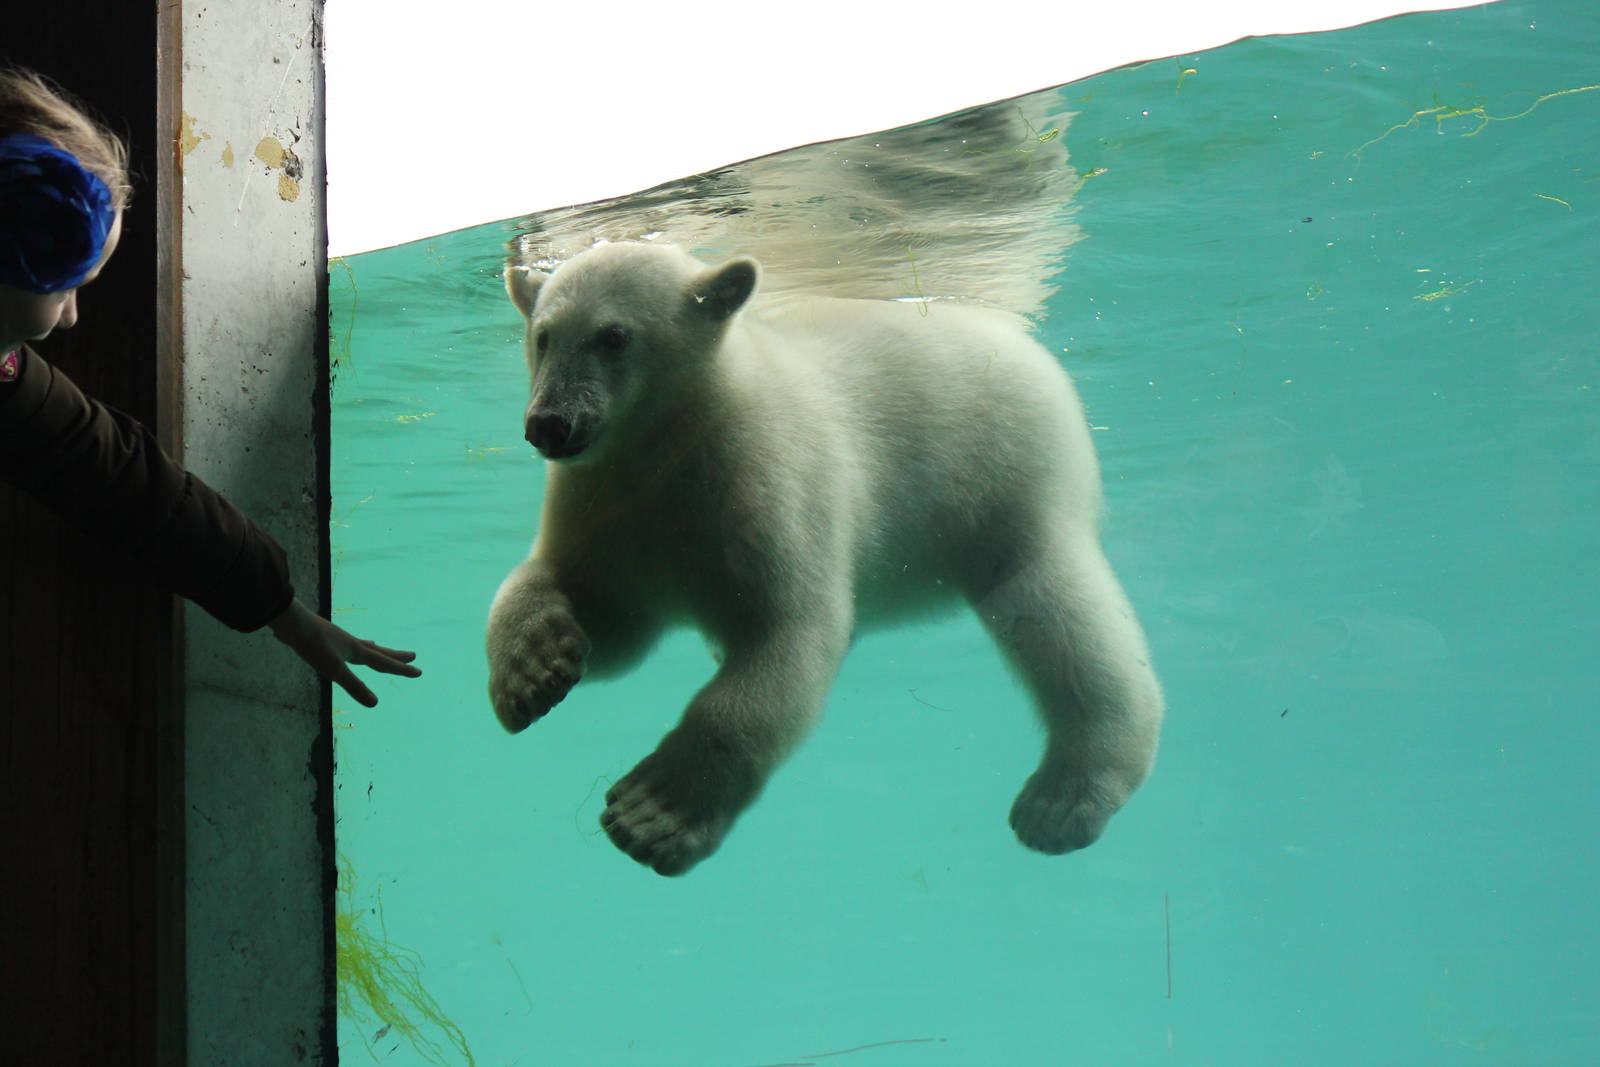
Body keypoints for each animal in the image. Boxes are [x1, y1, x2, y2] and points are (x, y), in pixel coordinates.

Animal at [486, 241, 1163, 876]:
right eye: (543, 335)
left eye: (614, 337)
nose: (549, 425)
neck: (673, 443)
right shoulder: (610, 502)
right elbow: (605, 615)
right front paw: (533, 667)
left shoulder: (761, 482)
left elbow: (787, 637)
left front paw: (652, 816)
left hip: (1009, 474)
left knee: (1060, 614)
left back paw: (1062, 799)